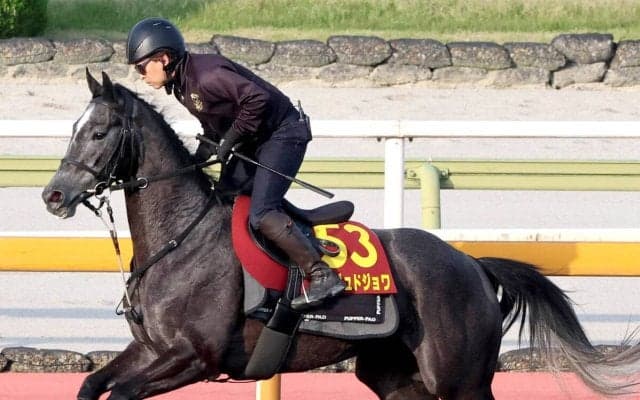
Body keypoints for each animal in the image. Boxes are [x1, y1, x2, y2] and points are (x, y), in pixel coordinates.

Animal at [41, 70, 640, 400]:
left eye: (99, 132)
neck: (179, 240)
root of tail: (473, 264)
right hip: (398, 378)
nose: (53, 196)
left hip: (461, 380)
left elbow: (122, 392)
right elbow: (93, 384)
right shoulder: (150, 348)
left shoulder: (195, 357)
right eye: (71, 129)